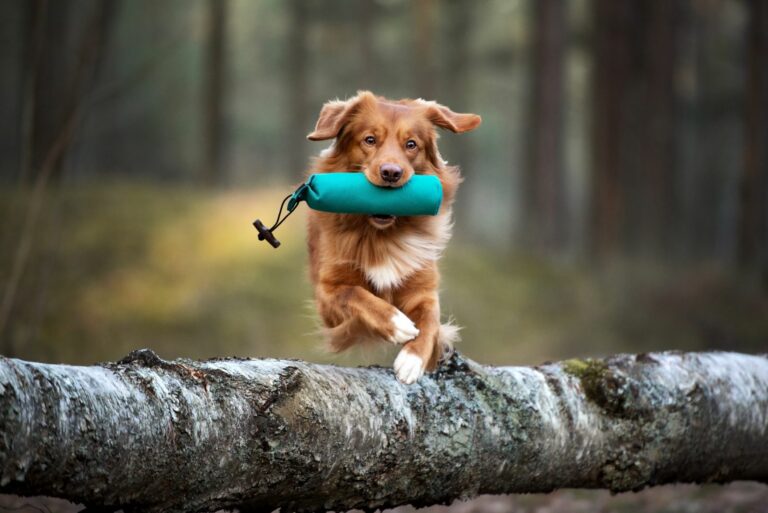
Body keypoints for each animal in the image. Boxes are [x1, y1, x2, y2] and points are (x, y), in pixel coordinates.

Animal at [304, 90, 480, 382]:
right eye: (370, 140)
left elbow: (430, 319)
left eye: (411, 144)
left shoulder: (423, 288)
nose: (391, 173)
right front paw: (396, 322)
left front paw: (413, 358)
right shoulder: (327, 295)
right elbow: (355, 294)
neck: (382, 236)